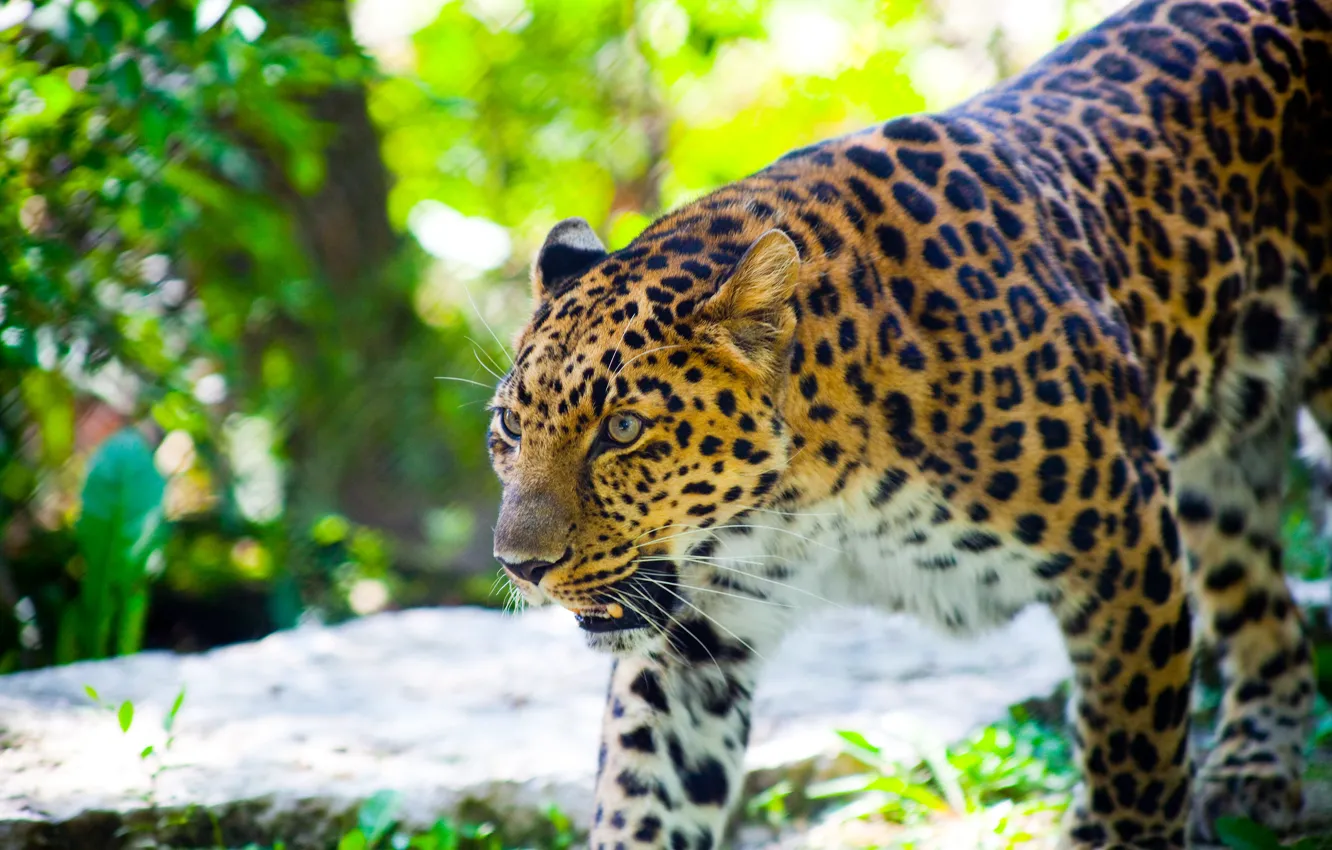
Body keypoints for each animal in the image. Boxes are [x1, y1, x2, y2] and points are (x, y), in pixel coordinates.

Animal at [484, 0, 1332, 846]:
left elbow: (1136, 760)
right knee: (1270, 616)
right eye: (508, 430)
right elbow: (646, 787)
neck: (810, 500)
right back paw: (1252, 771)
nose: (521, 567)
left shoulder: (1126, 548)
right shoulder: (697, 631)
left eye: (623, 430)